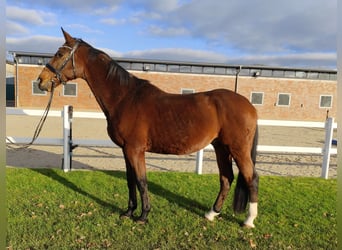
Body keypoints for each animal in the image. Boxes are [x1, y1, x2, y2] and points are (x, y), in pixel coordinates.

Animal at [36, 28, 260, 228]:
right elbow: (130, 181)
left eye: (60, 53)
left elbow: (141, 181)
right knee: (226, 178)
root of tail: (249, 106)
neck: (125, 98)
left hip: (238, 149)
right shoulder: (126, 150)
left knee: (251, 178)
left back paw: (249, 221)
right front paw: (128, 212)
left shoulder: (135, 150)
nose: (41, 80)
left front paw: (143, 216)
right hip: (221, 148)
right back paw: (211, 214)